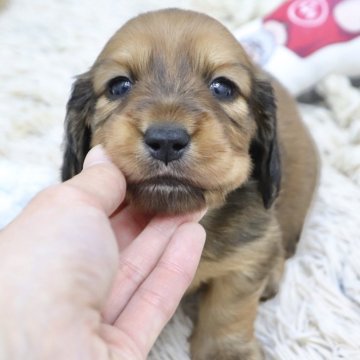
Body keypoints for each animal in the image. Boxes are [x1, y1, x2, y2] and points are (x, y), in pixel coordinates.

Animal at [61, 9, 318, 360]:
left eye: (223, 87)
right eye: (118, 86)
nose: (166, 140)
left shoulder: (247, 254)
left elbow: (230, 308)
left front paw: (227, 352)